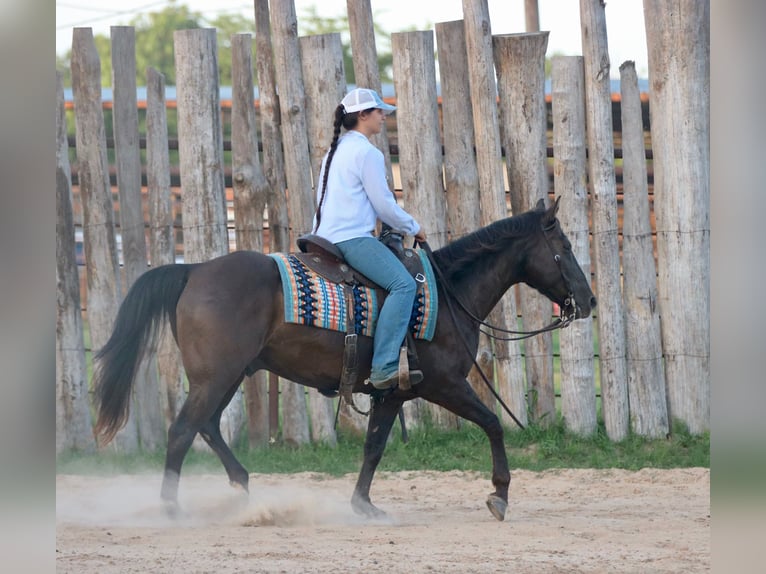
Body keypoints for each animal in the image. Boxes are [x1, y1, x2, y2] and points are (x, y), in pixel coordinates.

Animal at [92, 196, 596, 521]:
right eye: (566, 249)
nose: (589, 300)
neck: (449, 292)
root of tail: (193, 270)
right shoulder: (445, 384)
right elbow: (492, 422)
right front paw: (500, 494)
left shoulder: (393, 394)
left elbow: (373, 447)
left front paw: (363, 505)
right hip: (216, 377)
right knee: (182, 431)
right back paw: (171, 508)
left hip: (228, 375)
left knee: (207, 426)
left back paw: (242, 487)